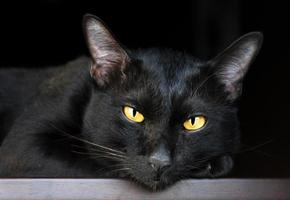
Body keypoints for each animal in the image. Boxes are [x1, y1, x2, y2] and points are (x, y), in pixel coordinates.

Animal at [0, 14, 262, 191]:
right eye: (133, 113)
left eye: (194, 122)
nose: (159, 161)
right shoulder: (23, 147)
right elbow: (96, 163)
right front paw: (211, 166)